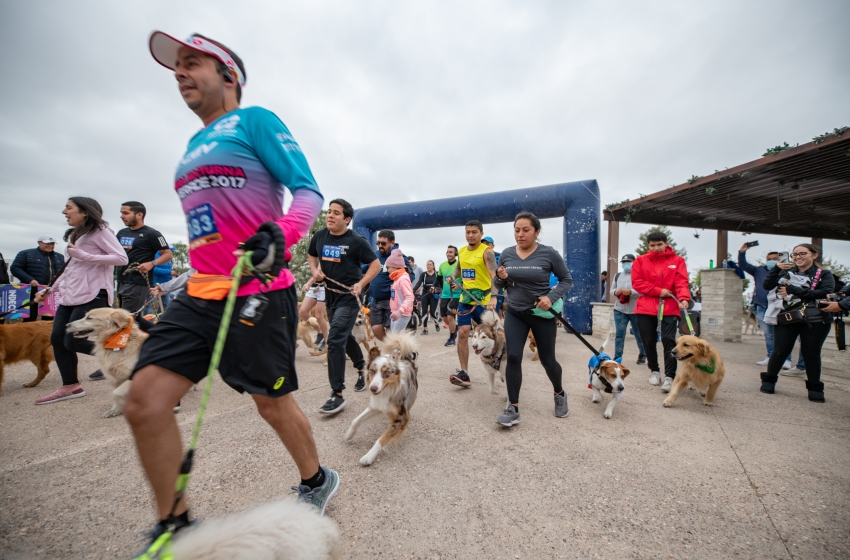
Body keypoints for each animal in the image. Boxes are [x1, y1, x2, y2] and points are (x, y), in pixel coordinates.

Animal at [342, 330, 420, 466]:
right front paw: (349, 435)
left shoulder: (402, 417)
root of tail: (405, 357)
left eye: (386, 373)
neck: (387, 390)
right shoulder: (376, 406)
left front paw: (368, 456)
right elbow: (356, 420)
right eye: (372, 371)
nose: (373, 389)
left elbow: (381, 439)